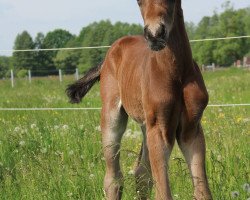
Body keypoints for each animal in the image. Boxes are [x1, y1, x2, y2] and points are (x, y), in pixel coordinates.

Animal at [66, 0, 211, 199]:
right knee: (113, 177)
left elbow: (202, 190)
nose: (155, 34)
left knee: (141, 174)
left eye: (172, 1)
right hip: (113, 117)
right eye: (138, 2)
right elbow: (163, 192)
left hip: (145, 126)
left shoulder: (191, 128)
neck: (177, 73)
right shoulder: (159, 127)